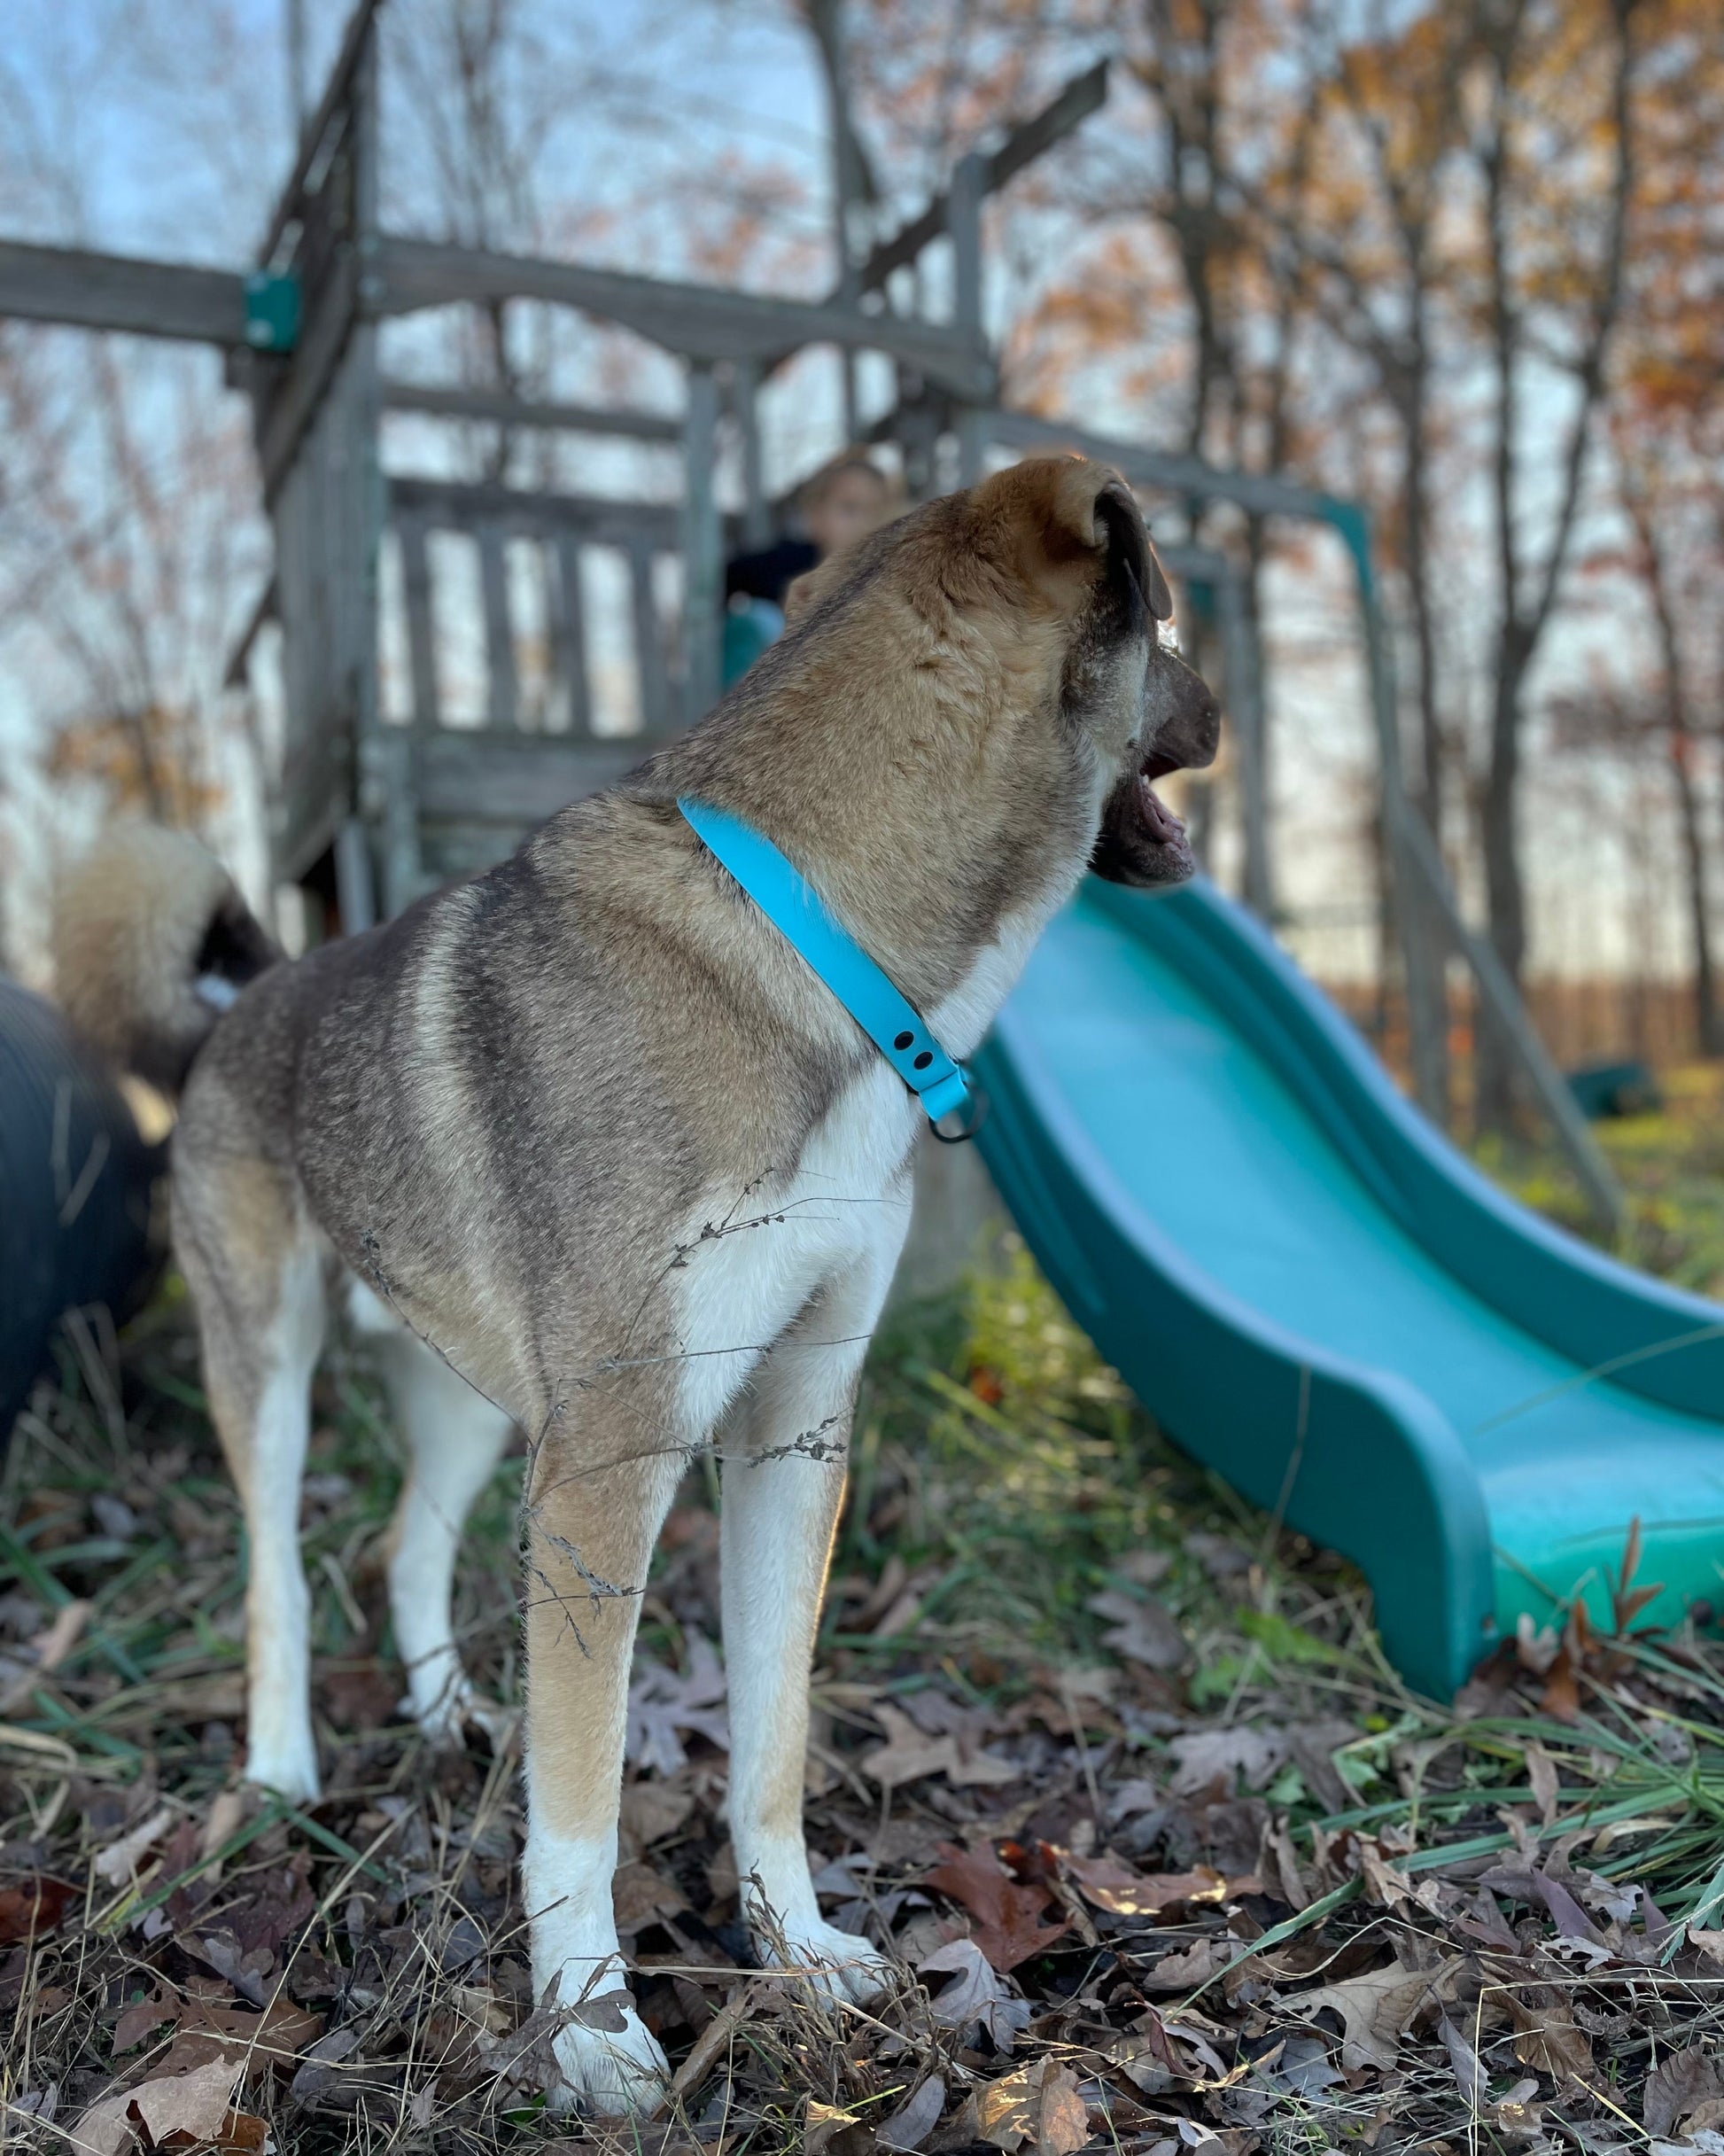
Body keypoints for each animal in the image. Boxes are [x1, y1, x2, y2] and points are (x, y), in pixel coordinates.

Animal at [60, 463, 1215, 2113]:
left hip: (478, 1409)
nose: (1223, 705)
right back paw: (280, 1772)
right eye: (1169, 619)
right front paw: (590, 2028)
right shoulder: (610, 1468)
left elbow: (772, 1738)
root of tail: (243, 999)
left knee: (405, 1546)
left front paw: (796, 1952)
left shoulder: (793, 1429)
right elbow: (583, 1796)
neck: (818, 947)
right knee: (277, 1568)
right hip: (269, 1366)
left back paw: (448, 1713)